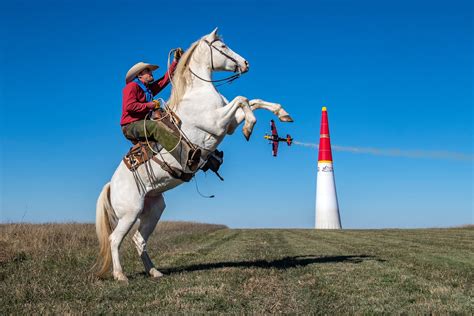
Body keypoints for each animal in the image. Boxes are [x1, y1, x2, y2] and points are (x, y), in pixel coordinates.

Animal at [94, 27, 290, 282]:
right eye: (223, 47)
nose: (245, 63)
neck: (199, 93)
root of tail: (111, 184)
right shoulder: (217, 123)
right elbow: (243, 100)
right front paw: (250, 127)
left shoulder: (227, 124)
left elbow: (251, 101)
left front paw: (281, 113)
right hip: (129, 213)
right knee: (115, 240)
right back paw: (120, 276)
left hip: (153, 209)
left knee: (139, 240)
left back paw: (154, 271)